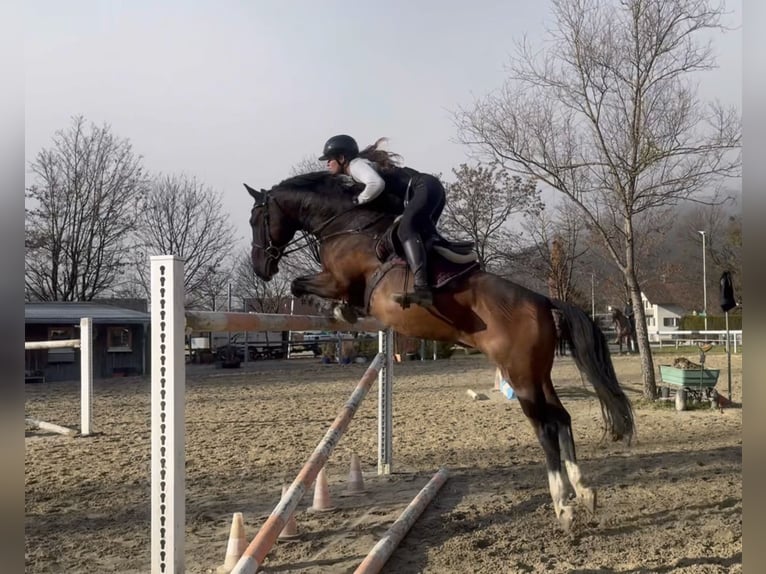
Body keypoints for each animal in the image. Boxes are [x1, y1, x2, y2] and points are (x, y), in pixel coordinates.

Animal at [246, 171, 634, 530]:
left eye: (256, 219)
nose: (260, 269)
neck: (345, 223)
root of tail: (542, 299)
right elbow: (305, 287)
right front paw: (339, 311)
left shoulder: (338, 280)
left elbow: (301, 284)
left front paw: (338, 310)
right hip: (538, 373)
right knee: (562, 417)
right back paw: (583, 491)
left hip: (520, 375)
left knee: (545, 427)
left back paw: (563, 504)